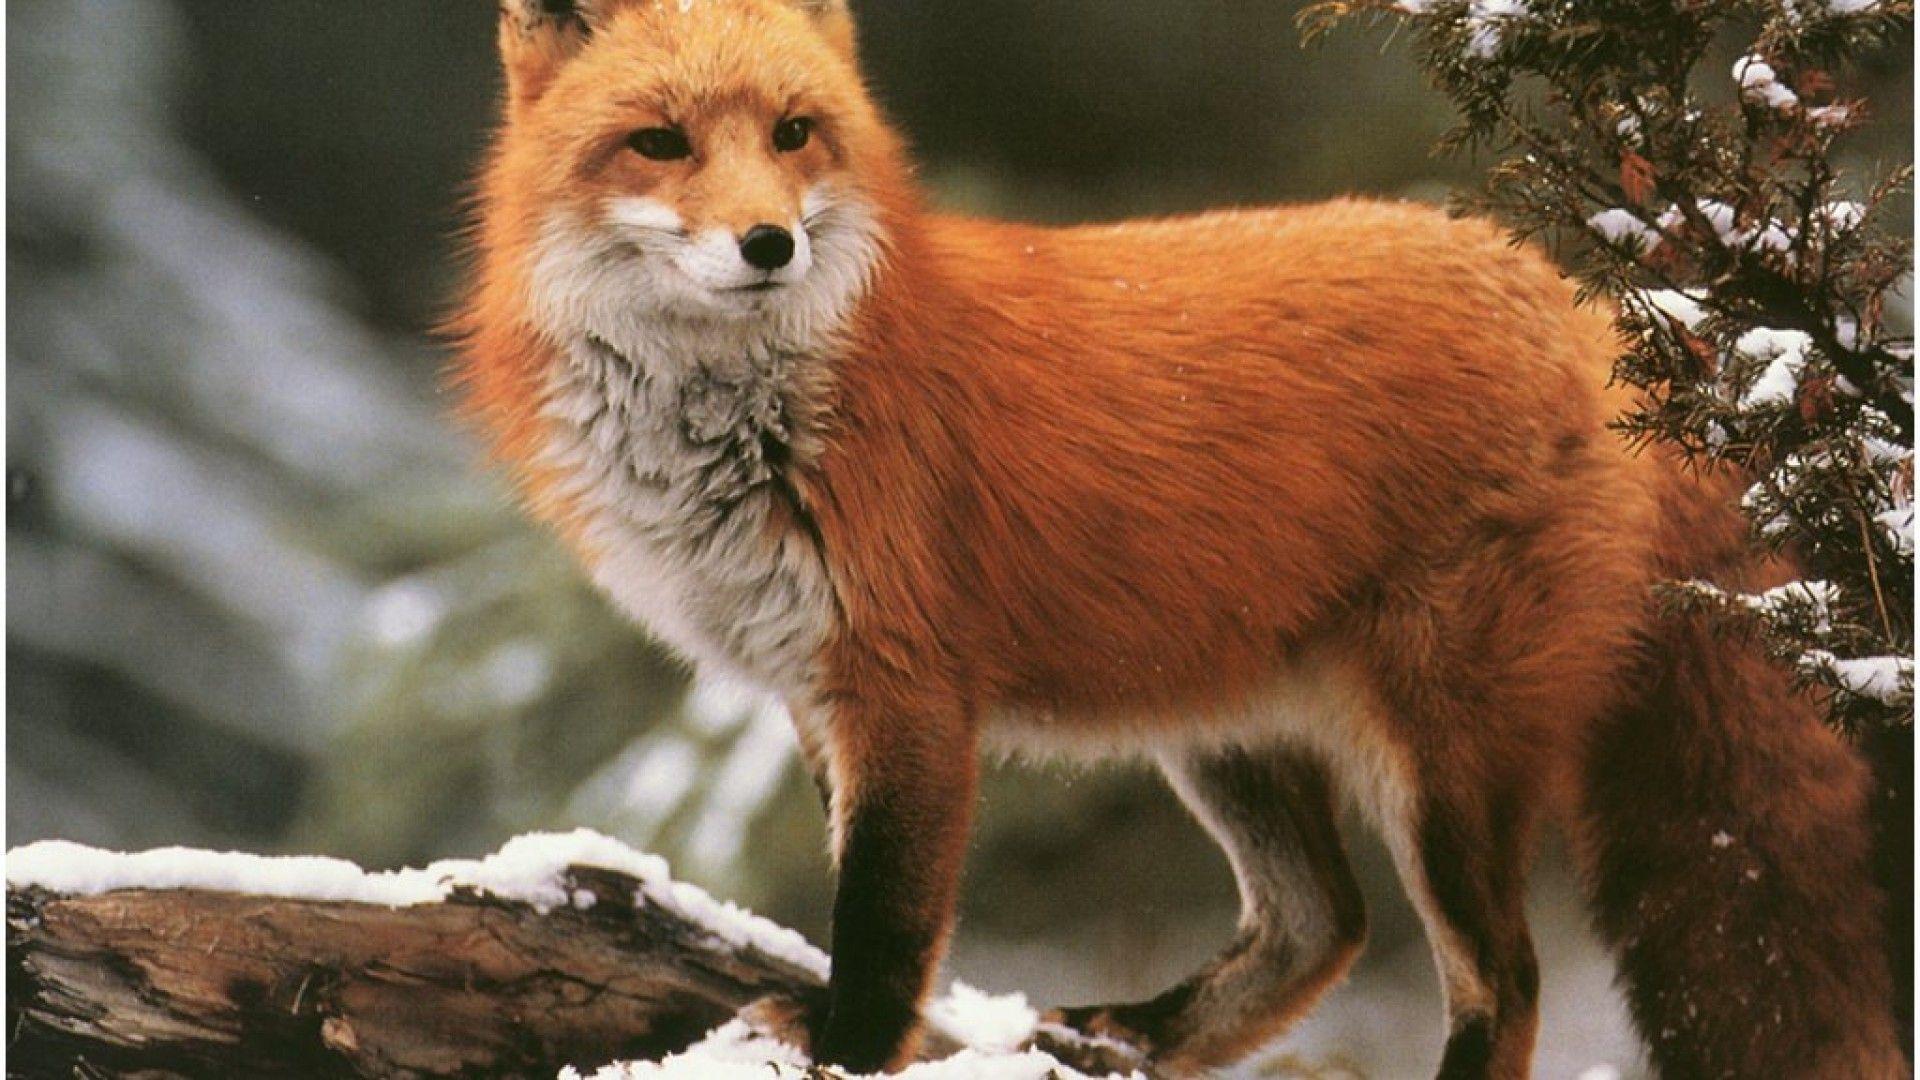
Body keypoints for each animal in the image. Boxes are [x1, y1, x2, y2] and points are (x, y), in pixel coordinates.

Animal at [450, 1, 1906, 1076]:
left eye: (795, 132)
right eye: (659, 143)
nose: (769, 244)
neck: (754, 418)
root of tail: (1595, 308)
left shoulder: (905, 693)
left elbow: (885, 924)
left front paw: (849, 1049)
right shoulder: (815, 691)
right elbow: (871, 903)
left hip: (1438, 764)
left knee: (1504, 979)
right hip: (1221, 731)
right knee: (1322, 927)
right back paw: (1136, 1035)